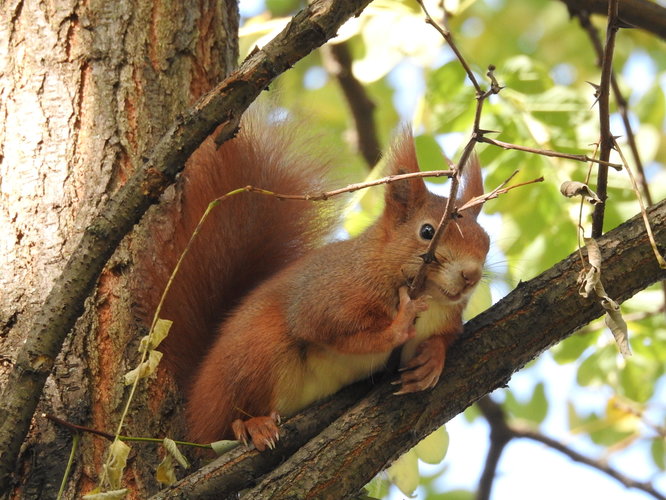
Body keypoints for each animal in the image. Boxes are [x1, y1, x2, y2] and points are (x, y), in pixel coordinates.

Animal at [135, 111, 488, 452]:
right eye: (427, 231)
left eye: (485, 240)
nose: (471, 276)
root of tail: (197, 394)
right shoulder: (332, 296)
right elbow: (332, 330)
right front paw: (399, 323)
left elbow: (443, 337)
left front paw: (432, 358)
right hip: (257, 351)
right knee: (224, 424)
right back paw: (250, 425)